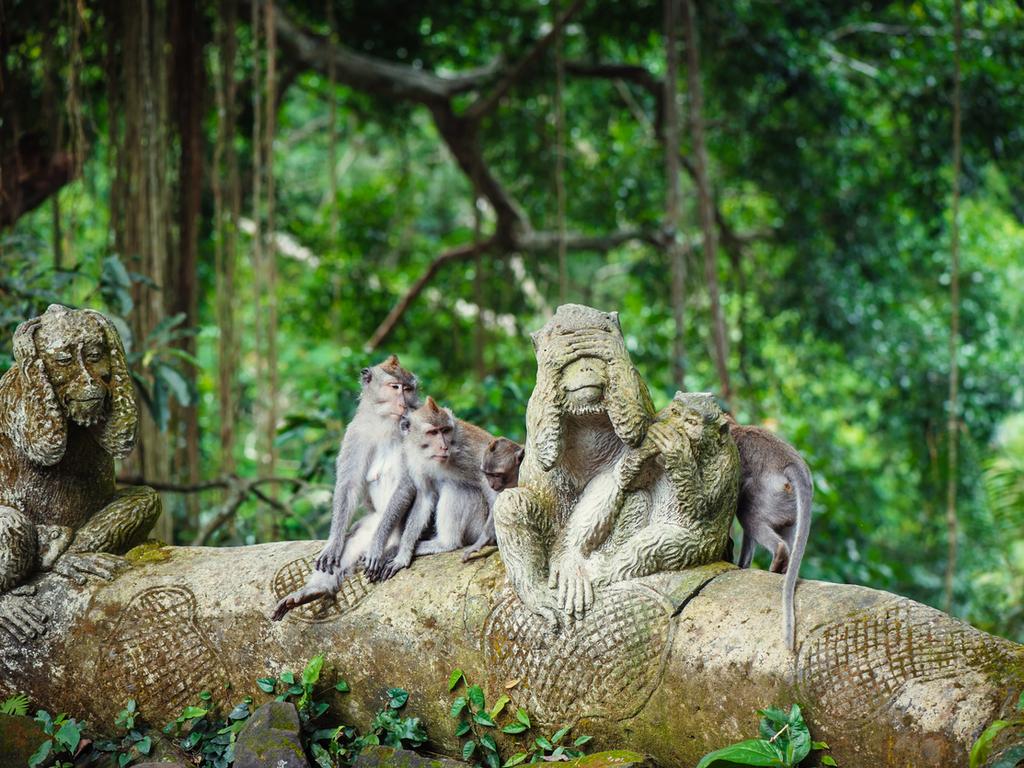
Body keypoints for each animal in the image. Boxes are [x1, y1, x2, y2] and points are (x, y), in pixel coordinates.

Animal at [272, 358, 419, 622]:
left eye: (409, 389)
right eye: (395, 387)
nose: (404, 403)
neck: (386, 424)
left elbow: (407, 484)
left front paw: (376, 547)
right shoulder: (356, 432)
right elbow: (348, 486)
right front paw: (333, 544)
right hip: (371, 522)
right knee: (352, 540)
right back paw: (315, 590)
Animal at [364, 397, 495, 581]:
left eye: (445, 430)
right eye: (433, 432)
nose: (444, 446)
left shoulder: (468, 450)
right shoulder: (413, 459)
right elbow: (425, 497)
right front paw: (403, 555)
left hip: (478, 524)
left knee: (456, 488)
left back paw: (446, 543)